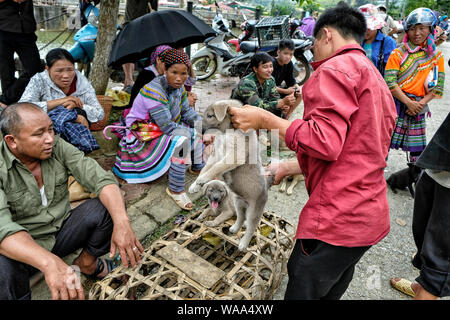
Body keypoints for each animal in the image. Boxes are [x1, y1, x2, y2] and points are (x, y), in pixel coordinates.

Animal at [189, 99, 270, 250]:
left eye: (210, 115)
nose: (194, 127)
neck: (225, 133)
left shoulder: (234, 155)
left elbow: (217, 167)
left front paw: (202, 179)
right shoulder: (215, 155)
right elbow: (206, 168)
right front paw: (195, 185)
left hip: (254, 211)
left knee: (251, 227)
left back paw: (243, 243)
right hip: (238, 204)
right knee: (240, 217)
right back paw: (234, 228)